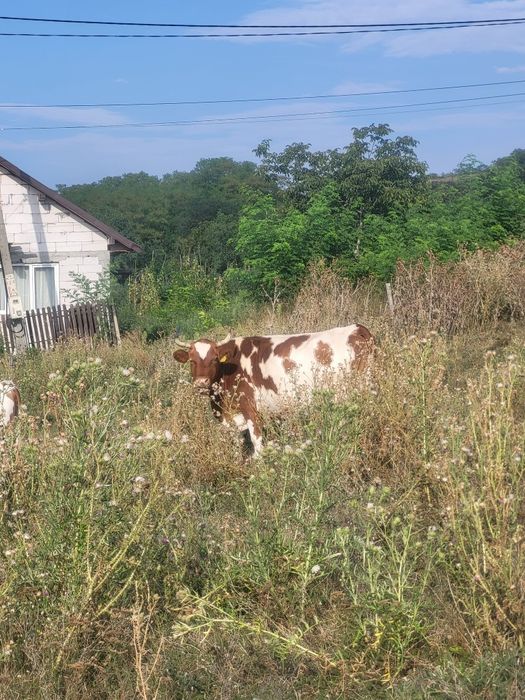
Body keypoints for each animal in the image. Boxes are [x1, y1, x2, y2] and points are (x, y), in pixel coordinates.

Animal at [173, 324, 374, 456]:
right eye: (192, 361)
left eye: (214, 359)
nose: (201, 383)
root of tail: (356, 328)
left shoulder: (250, 408)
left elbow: (257, 442)